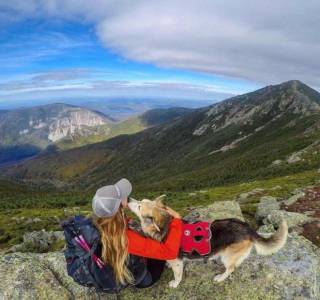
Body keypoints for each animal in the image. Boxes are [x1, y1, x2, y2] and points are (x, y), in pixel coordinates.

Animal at [127, 196, 288, 288]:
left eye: (140, 206)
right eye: (141, 201)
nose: (128, 199)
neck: (165, 225)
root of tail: (248, 229)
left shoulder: (177, 263)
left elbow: (177, 275)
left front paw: (175, 284)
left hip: (227, 256)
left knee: (231, 268)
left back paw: (220, 278)